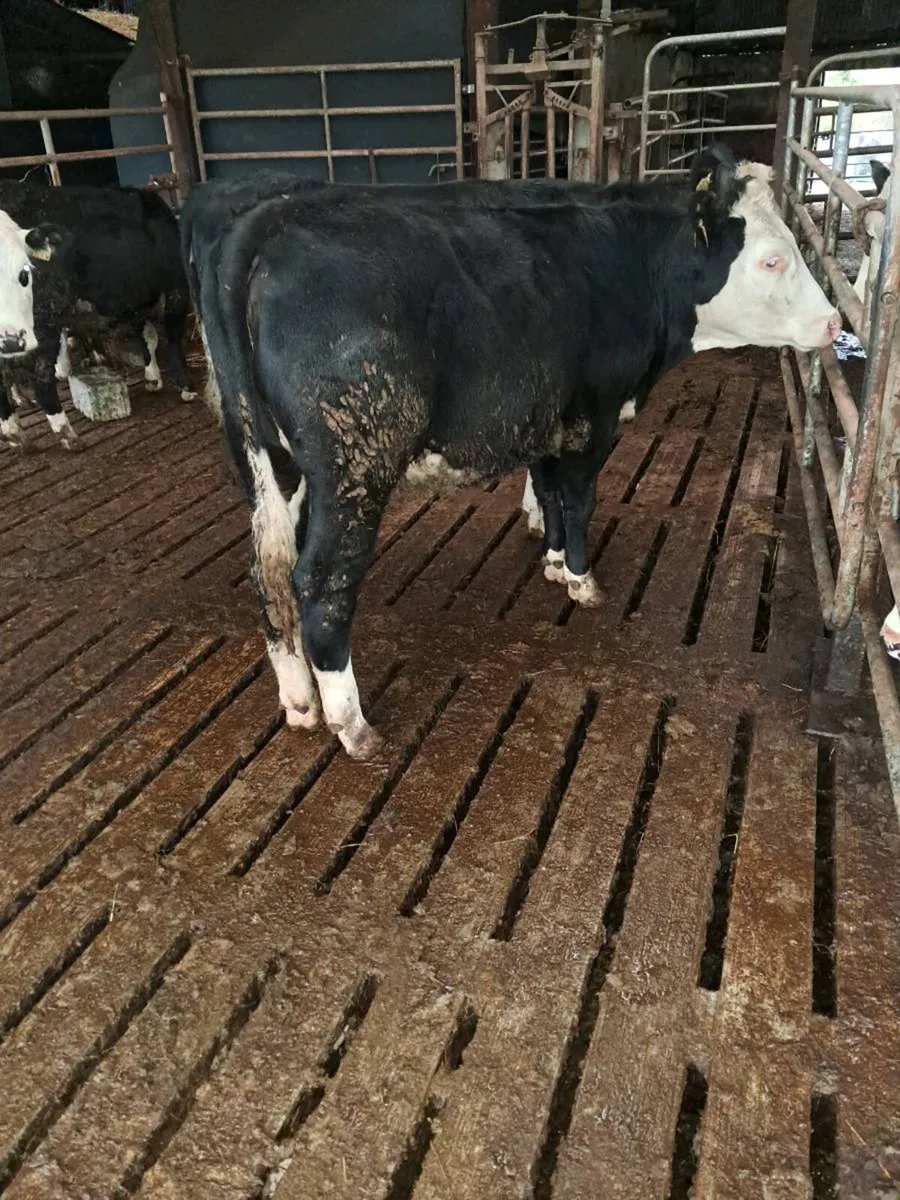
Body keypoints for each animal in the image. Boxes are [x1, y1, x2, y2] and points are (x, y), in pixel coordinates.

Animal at [0, 182, 194, 449]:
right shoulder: (176, 288)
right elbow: (173, 338)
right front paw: (184, 386)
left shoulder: (136, 299)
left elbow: (147, 337)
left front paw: (152, 377)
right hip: (42, 321)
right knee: (41, 377)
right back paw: (66, 432)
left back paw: (13, 433)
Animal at [186, 143, 840, 759]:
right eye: (772, 258)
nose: (835, 323)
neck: (629, 266)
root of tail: (266, 225)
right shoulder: (592, 416)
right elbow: (578, 499)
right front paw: (580, 579)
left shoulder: (547, 418)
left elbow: (548, 490)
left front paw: (550, 560)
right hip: (355, 461)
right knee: (320, 581)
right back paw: (352, 724)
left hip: (273, 462)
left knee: (269, 569)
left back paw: (298, 698)